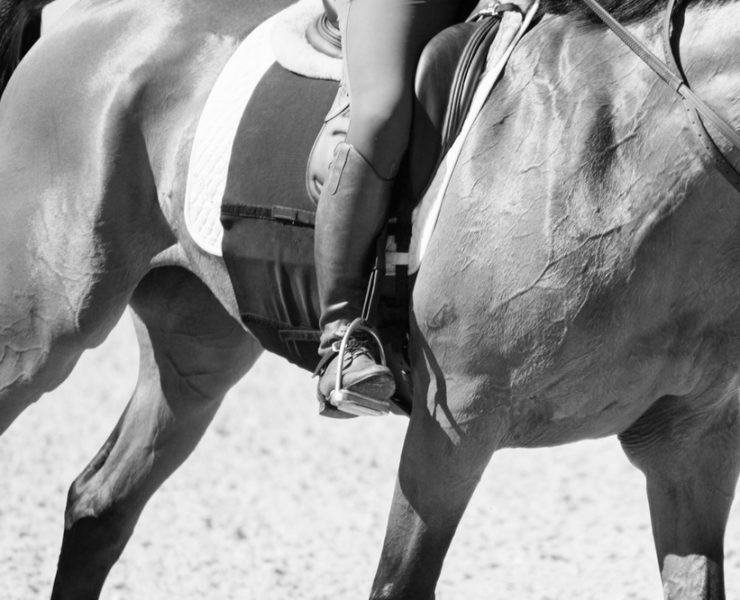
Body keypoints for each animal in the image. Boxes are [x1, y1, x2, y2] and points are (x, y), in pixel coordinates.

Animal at [1, 0, 739, 597]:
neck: (619, 158)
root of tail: (83, 15)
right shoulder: (454, 429)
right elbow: (397, 584)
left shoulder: (690, 450)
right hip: (42, 335)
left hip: (196, 352)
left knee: (99, 505)